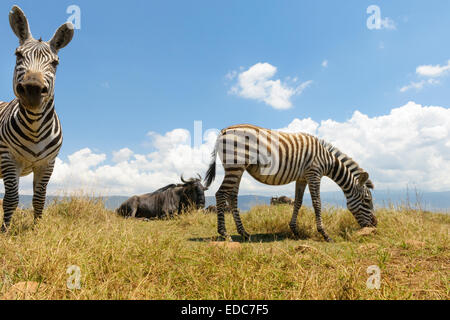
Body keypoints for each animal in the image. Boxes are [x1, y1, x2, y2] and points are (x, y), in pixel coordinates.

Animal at [0, 6, 74, 231]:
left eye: (55, 63)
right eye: (18, 55)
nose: (32, 88)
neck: (34, 127)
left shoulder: (47, 163)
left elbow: (39, 198)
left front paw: (36, 229)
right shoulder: (8, 157)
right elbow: (11, 199)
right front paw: (5, 231)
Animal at [204, 124, 376, 241]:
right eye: (367, 200)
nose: (375, 225)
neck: (327, 160)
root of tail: (224, 130)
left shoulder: (302, 178)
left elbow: (298, 202)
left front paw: (295, 230)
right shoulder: (314, 173)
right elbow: (317, 203)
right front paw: (325, 234)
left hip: (237, 168)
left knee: (232, 196)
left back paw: (244, 233)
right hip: (235, 166)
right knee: (221, 194)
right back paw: (225, 233)